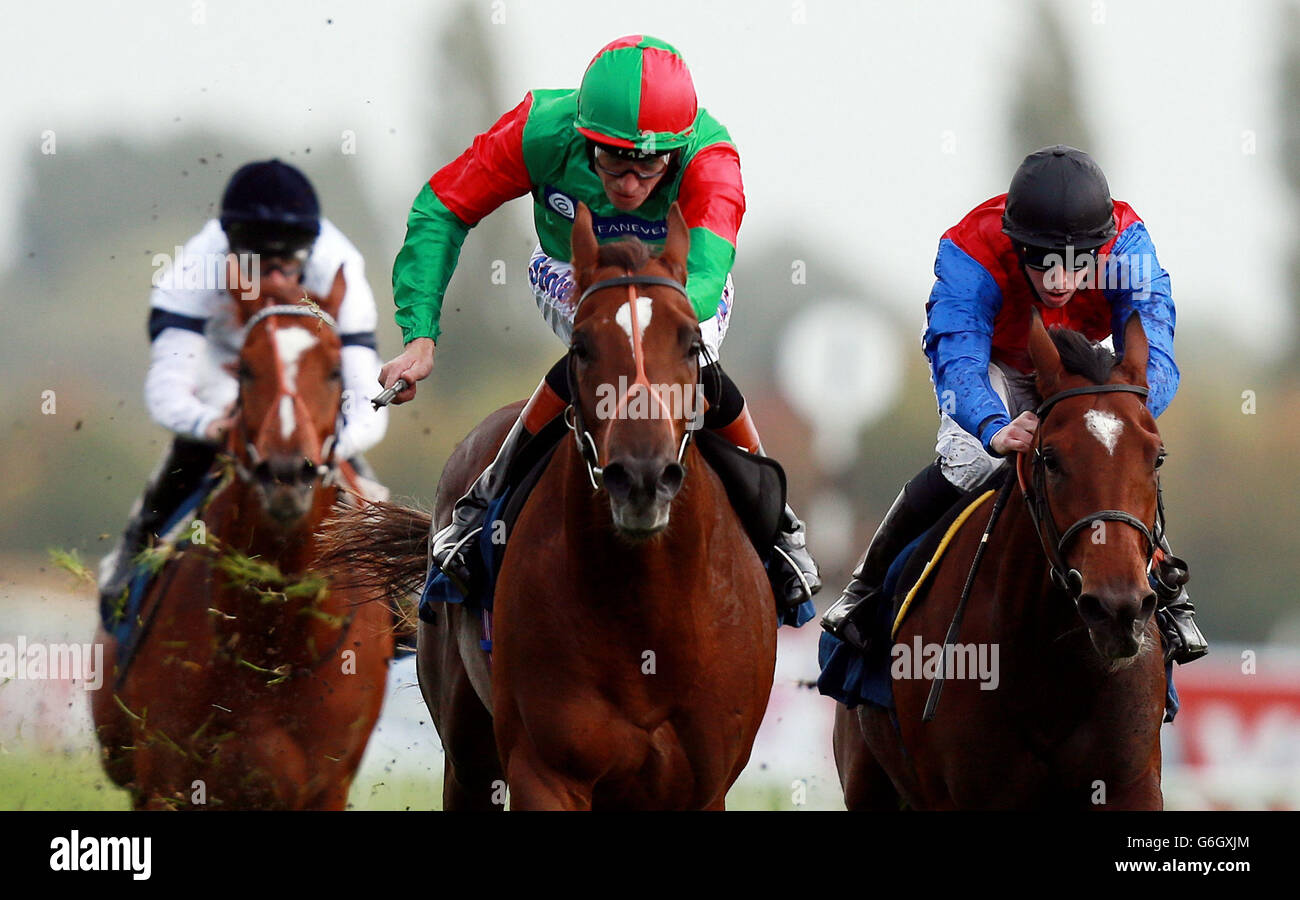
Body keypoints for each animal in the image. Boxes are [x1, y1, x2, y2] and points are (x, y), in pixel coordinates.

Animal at [89, 271, 390, 806]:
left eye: (335, 370)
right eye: (246, 369)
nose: (287, 473)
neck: (267, 642)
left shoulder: (324, 788)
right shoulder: (166, 780)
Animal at [330, 204, 774, 806]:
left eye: (689, 345)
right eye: (581, 348)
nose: (641, 478)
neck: (648, 615)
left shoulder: (703, 787)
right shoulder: (546, 771)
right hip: (468, 755)